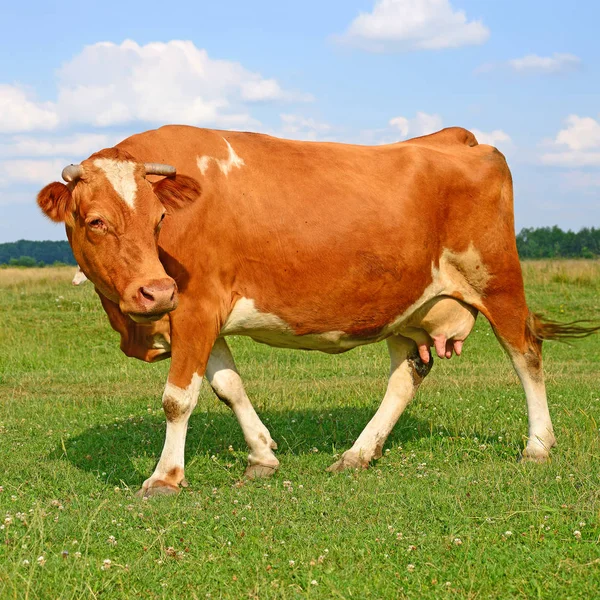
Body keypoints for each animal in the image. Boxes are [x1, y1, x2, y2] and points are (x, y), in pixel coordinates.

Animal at [36, 125, 596, 496]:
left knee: (526, 353)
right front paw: (262, 456)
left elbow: (178, 398)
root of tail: (457, 137)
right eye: (95, 221)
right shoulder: (201, 314)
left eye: (158, 219)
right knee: (406, 377)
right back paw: (358, 453)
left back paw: (538, 444)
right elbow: (228, 385)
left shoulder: (194, 304)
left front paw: (164, 477)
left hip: (497, 278)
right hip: (406, 304)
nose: (154, 291)